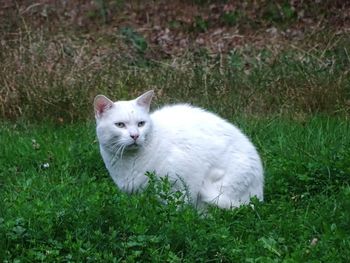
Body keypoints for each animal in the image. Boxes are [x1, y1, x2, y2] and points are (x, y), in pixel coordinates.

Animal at [94, 91, 264, 210]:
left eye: (141, 124)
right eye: (120, 125)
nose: (135, 135)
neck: (129, 161)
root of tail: (259, 192)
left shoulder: (179, 186)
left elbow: (176, 211)